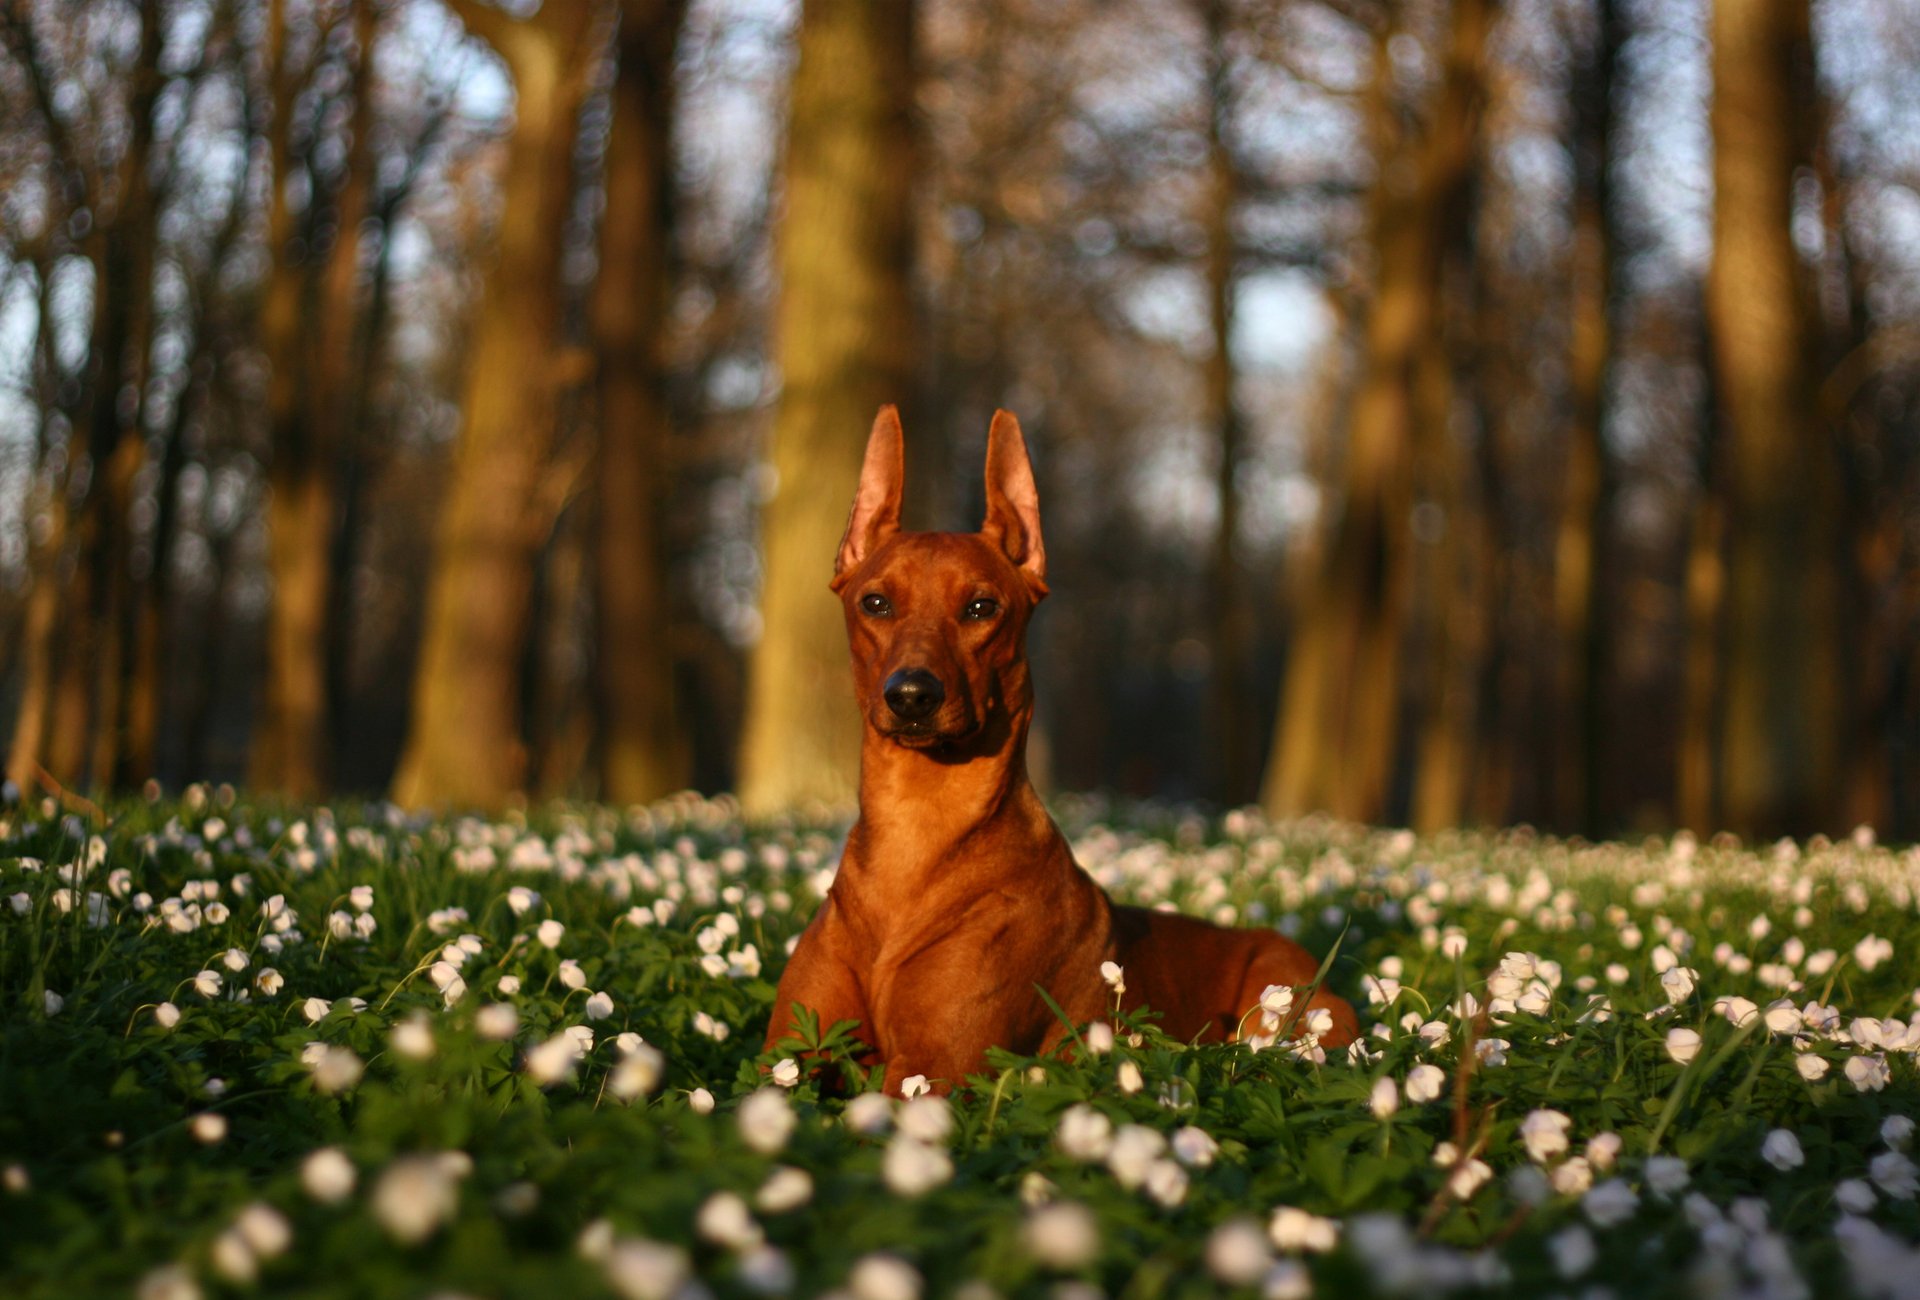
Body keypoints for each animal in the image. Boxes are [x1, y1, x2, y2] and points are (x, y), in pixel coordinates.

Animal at [756, 409, 1359, 1098]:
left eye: (982, 607)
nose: (911, 694)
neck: (915, 828)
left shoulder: (931, 1069)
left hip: (1280, 1015)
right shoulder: (785, 1056)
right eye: (874, 603)